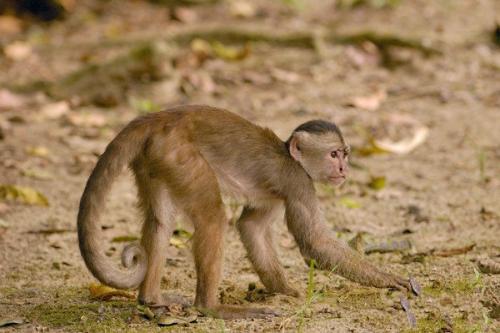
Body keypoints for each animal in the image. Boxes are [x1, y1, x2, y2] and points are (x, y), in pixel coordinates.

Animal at [76, 105, 408, 318]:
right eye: (334, 154)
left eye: (345, 155)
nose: (343, 169)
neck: (292, 157)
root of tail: (159, 118)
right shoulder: (297, 181)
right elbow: (314, 244)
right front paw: (390, 279)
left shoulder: (278, 192)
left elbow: (251, 227)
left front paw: (284, 290)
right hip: (177, 153)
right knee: (212, 217)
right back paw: (210, 307)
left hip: (155, 157)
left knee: (161, 221)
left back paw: (151, 299)